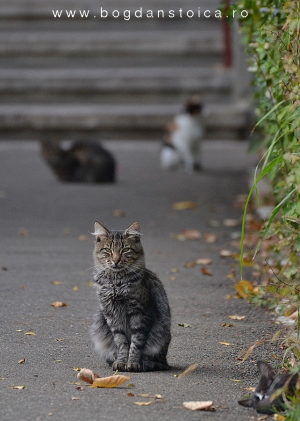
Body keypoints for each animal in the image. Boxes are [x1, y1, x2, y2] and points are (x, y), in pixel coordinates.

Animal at [90, 220, 171, 370]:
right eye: (108, 250)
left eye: (125, 250)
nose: (116, 260)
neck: (116, 283)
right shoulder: (111, 315)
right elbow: (121, 342)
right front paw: (121, 362)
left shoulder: (139, 313)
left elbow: (136, 342)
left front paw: (133, 363)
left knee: (157, 361)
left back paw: (146, 363)